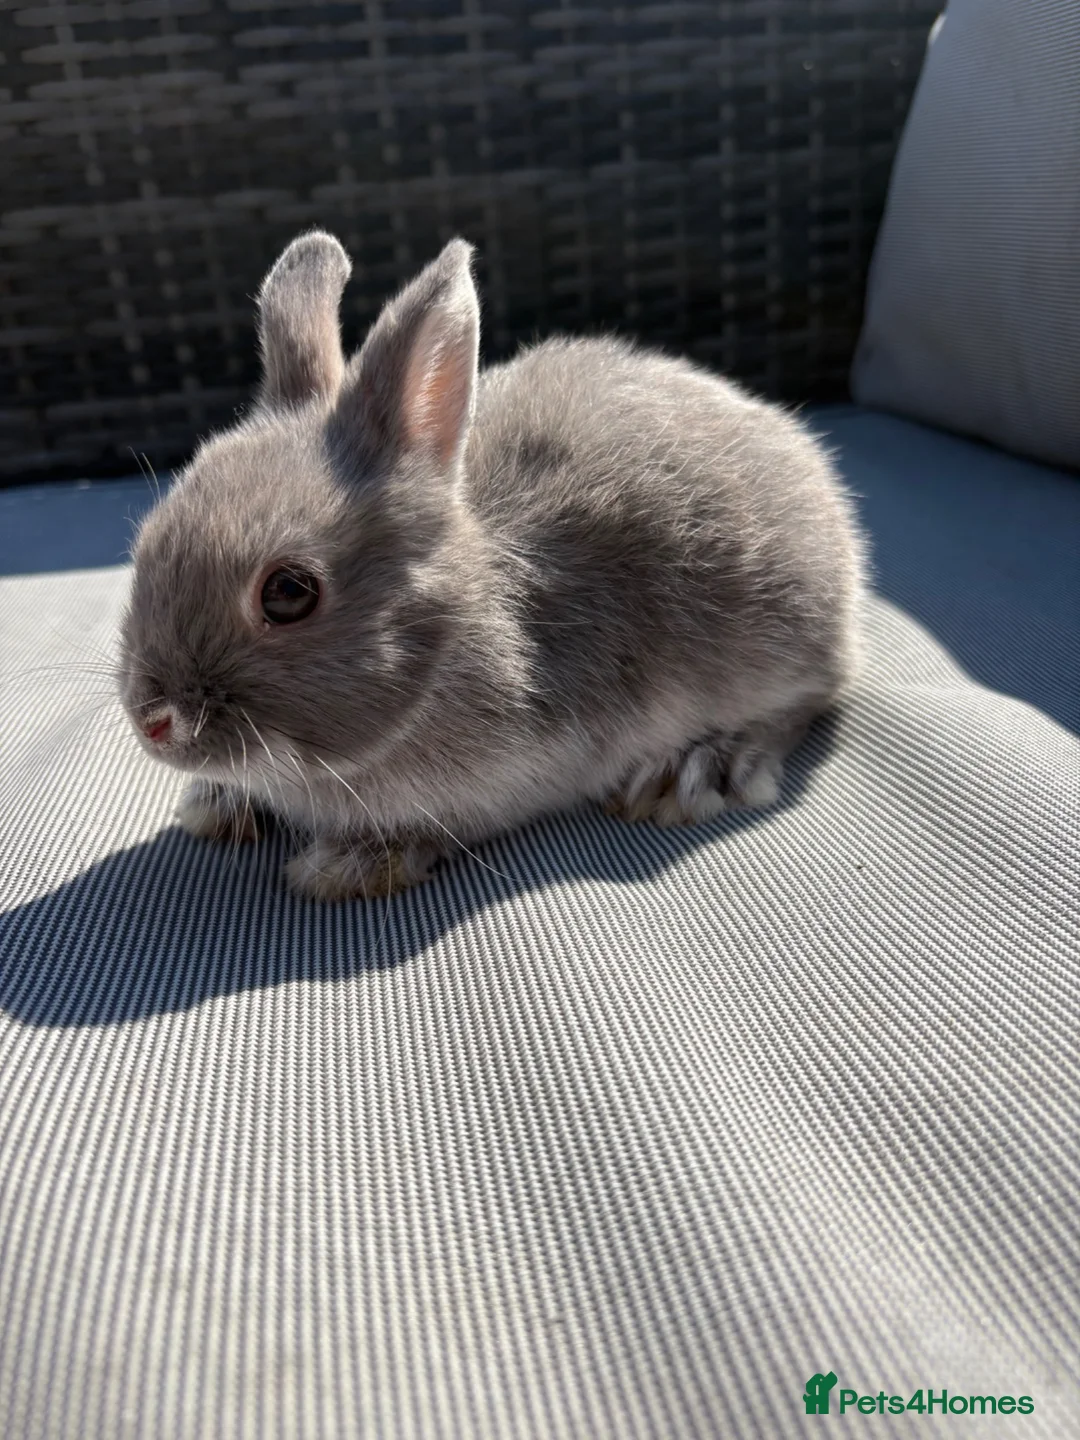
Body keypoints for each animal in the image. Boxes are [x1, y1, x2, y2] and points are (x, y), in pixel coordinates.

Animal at [118, 230, 866, 901]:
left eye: (288, 593)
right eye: (147, 541)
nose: (152, 721)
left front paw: (345, 867)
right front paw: (211, 804)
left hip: (773, 640)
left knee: (808, 701)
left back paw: (699, 771)